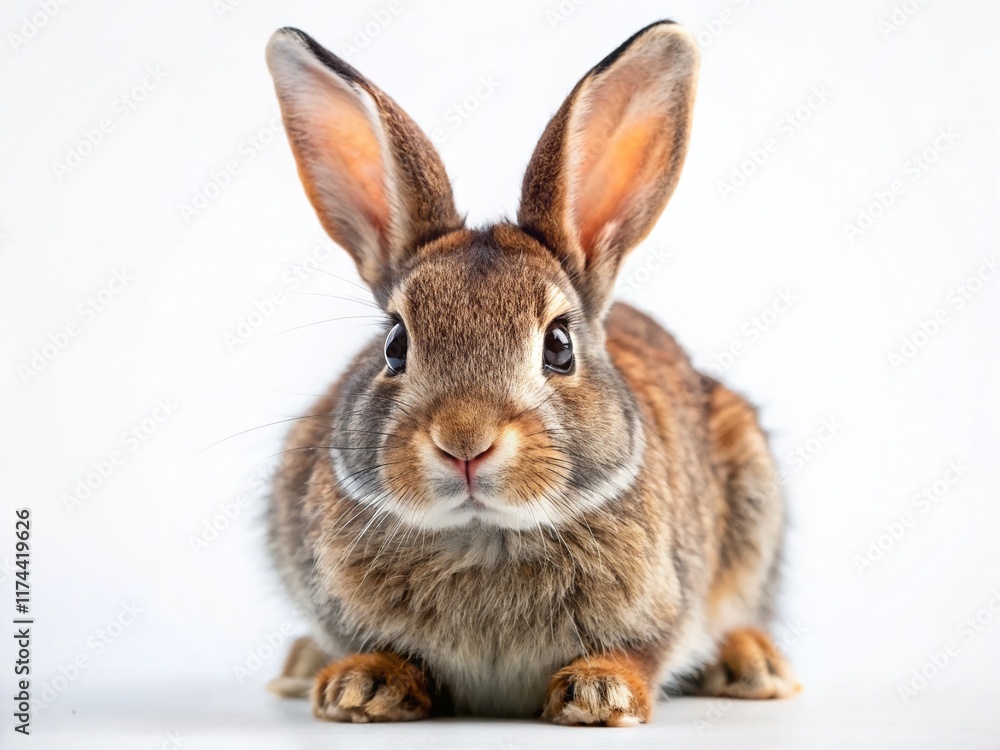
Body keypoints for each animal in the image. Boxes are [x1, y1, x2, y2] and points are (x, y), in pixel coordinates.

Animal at [262, 20, 799, 727]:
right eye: (395, 344)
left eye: (560, 345)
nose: (465, 441)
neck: (484, 532)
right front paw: (362, 686)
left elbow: (644, 653)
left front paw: (600, 693)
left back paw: (753, 665)